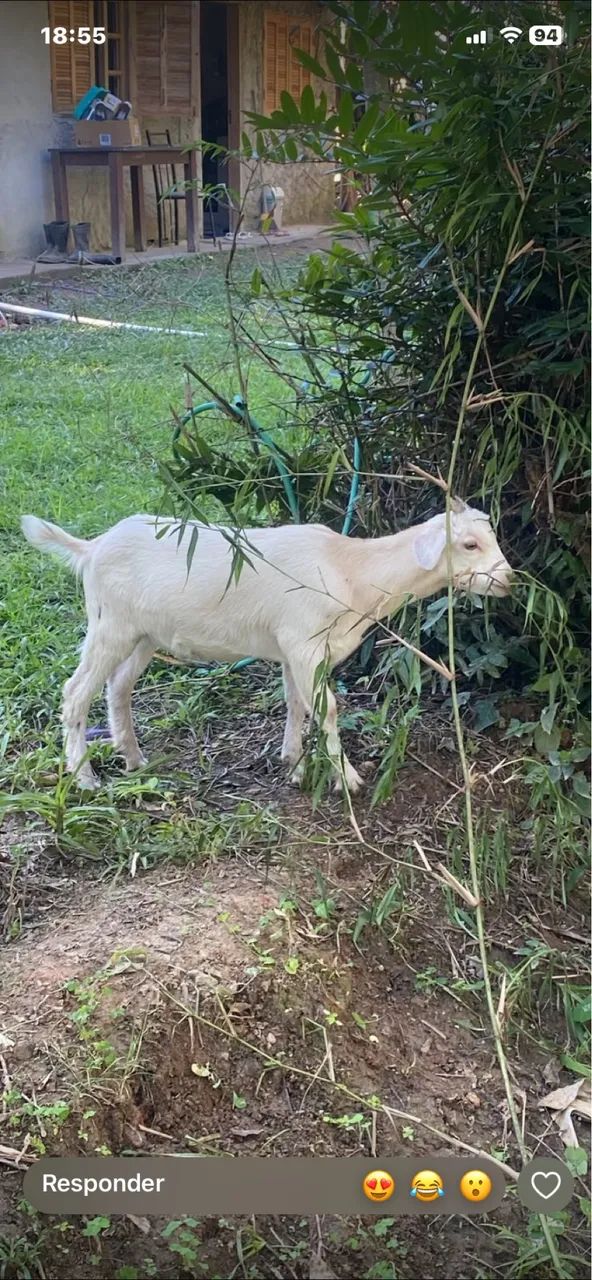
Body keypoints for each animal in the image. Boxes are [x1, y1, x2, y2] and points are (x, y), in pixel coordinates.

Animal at [21, 495, 512, 793]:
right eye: (469, 544)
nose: (509, 579)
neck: (350, 571)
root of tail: (92, 547)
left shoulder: (294, 650)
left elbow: (297, 704)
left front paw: (293, 764)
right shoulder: (304, 643)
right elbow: (327, 709)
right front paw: (347, 779)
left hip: (143, 634)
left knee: (118, 686)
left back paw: (135, 759)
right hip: (110, 625)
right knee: (75, 692)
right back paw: (84, 777)